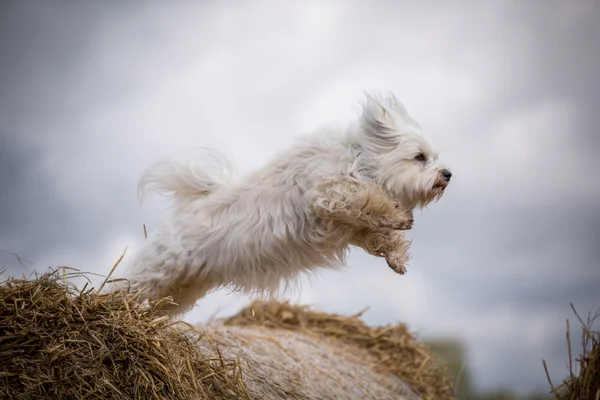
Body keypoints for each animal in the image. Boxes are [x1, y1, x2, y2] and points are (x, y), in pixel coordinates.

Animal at [119, 93, 452, 316]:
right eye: (419, 157)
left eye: (433, 157)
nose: (447, 174)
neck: (358, 158)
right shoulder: (327, 192)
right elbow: (368, 198)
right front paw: (400, 217)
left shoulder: (351, 226)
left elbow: (379, 234)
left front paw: (397, 257)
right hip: (158, 271)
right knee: (125, 288)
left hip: (183, 290)